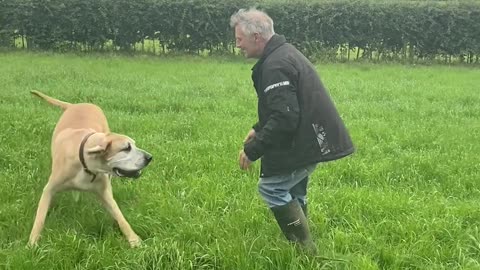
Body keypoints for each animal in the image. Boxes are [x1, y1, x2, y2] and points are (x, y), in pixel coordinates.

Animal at [28, 90, 152, 247]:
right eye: (126, 148)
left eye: (134, 145)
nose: (149, 157)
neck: (86, 164)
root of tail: (75, 105)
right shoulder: (49, 189)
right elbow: (40, 217)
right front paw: (32, 244)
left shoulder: (104, 192)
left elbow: (120, 217)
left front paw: (134, 240)